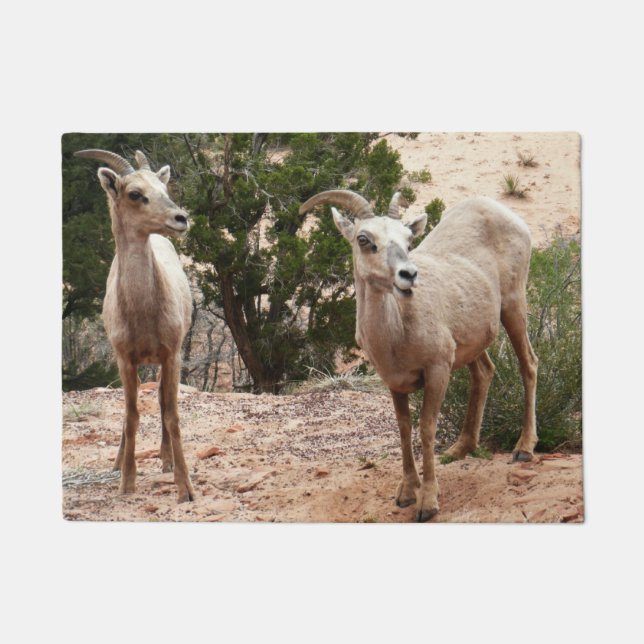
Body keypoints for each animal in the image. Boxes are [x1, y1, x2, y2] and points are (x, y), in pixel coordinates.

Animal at [74, 149, 195, 502]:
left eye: (163, 187)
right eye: (135, 194)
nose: (181, 219)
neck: (143, 313)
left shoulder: (171, 354)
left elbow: (171, 413)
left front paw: (185, 487)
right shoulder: (124, 359)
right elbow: (131, 415)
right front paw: (127, 481)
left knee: (163, 401)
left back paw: (166, 461)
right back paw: (117, 463)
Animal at [299, 190, 538, 522]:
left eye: (408, 239)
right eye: (364, 238)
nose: (408, 275)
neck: (396, 333)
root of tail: (501, 211)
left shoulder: (437, 370)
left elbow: (426, 428)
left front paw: (428, 502)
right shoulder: (394, 382)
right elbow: (404, 429)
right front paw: (405, 494)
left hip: (513, 306)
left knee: (529, 364)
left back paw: (524, 448)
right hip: (473, 341)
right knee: (484, 372)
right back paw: (459, 449)